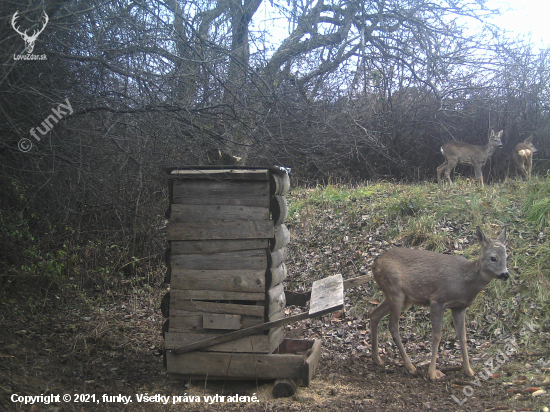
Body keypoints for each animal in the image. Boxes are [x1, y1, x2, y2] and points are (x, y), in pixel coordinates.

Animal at [370, 227, 508, 382]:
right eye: (493, 258)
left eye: (506, 257)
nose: (505, 274)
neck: (464, 282)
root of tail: (374, 265)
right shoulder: (437, 300)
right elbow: (436, 335)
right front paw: (432, 373)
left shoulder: (459, 308)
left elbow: (463, 336)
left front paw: (469, 370)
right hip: (395, 291)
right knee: (393, 326)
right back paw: (410, 367)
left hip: (400, 297)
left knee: (374, 315)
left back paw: (377, 358)